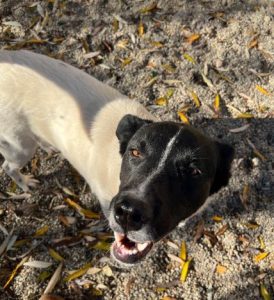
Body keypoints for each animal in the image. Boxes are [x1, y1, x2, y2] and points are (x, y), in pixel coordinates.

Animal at [0, 51, 233, 264]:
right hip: (19, 147)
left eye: (194, 171)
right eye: (135, 152)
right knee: (8, 167)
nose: (128, 213)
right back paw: (25, 183)